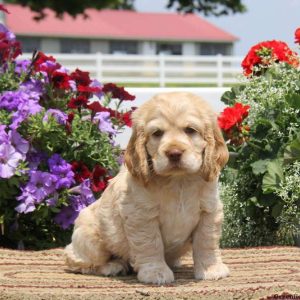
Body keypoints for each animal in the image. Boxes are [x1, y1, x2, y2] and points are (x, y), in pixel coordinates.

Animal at [65, 92, 230, 284]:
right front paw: (156, 272)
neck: (178, 181)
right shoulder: (141, 215)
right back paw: (113, 266)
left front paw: (211, 269)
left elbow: (206, 241)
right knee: (76, 260)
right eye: (157, 133)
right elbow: (151, 243)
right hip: (91, 240)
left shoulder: (209, 211)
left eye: (190, 130)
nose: (174, 153)